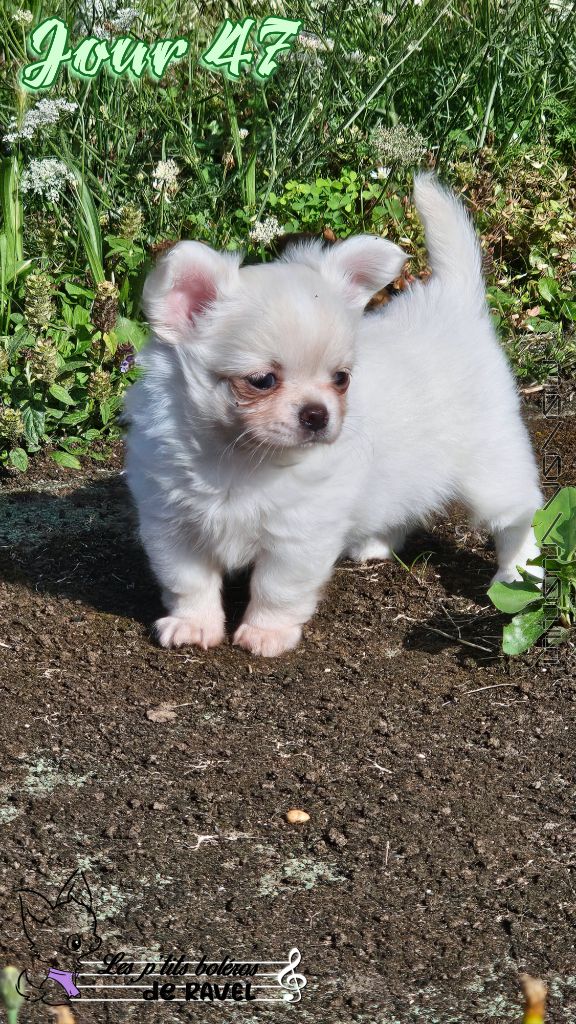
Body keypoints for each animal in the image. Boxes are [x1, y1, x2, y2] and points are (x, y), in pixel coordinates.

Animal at [123, 175, 542, 657]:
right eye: (263, 380)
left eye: (341, 378)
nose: (317, 414)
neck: (239, 459)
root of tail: (452, 303)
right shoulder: (172, 526)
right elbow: (189, 583)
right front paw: (193, 625)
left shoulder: (298, 536)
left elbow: (276, 588)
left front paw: (267, 632)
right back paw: (377, 543)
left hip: (491, 467)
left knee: (518, 516)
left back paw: (518, 574)